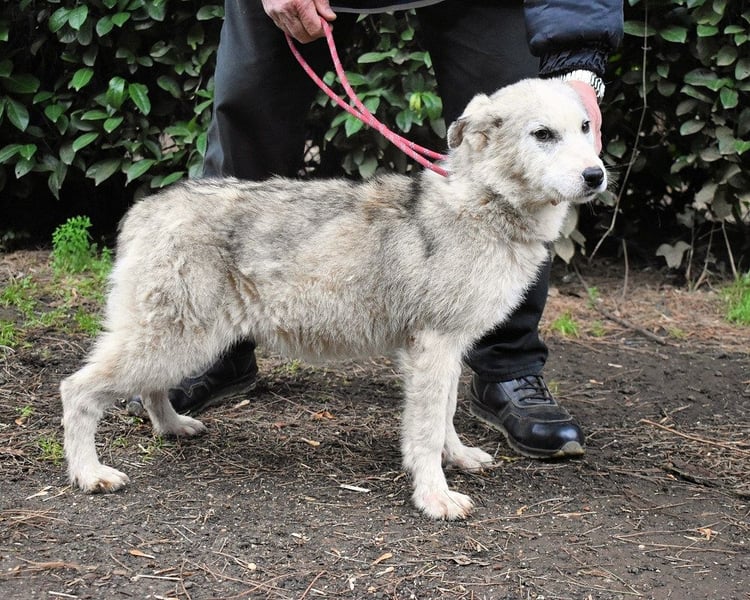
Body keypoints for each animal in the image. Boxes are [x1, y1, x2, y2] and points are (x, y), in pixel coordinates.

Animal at [61, 79, 606, 520]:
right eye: (543, 135)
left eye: (585, 128)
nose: (597, 175)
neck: (484, 203)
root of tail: (148, 207)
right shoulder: (433, 349)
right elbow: (426, 432)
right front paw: (434, 497)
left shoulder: (448, 351)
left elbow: (447, 416)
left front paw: (459, 458)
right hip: (172, 341)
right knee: (77, 390)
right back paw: (89, 473)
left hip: (178, 342)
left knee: (152, 390)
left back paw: (172, 426)